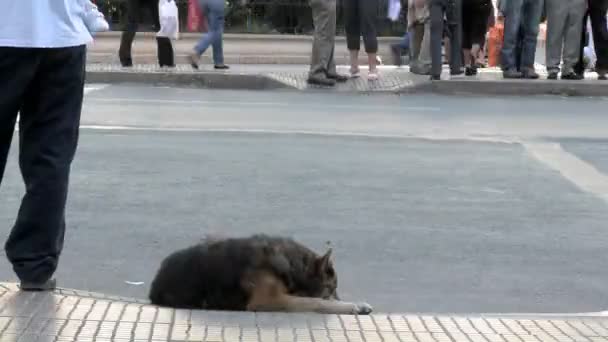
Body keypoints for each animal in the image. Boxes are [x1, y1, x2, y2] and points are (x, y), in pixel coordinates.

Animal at [150, 235, 372, 316]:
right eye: (332, 288)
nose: (338, 296)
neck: (293, 264)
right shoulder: (270, 300)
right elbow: (317, 302)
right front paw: (353, 306)